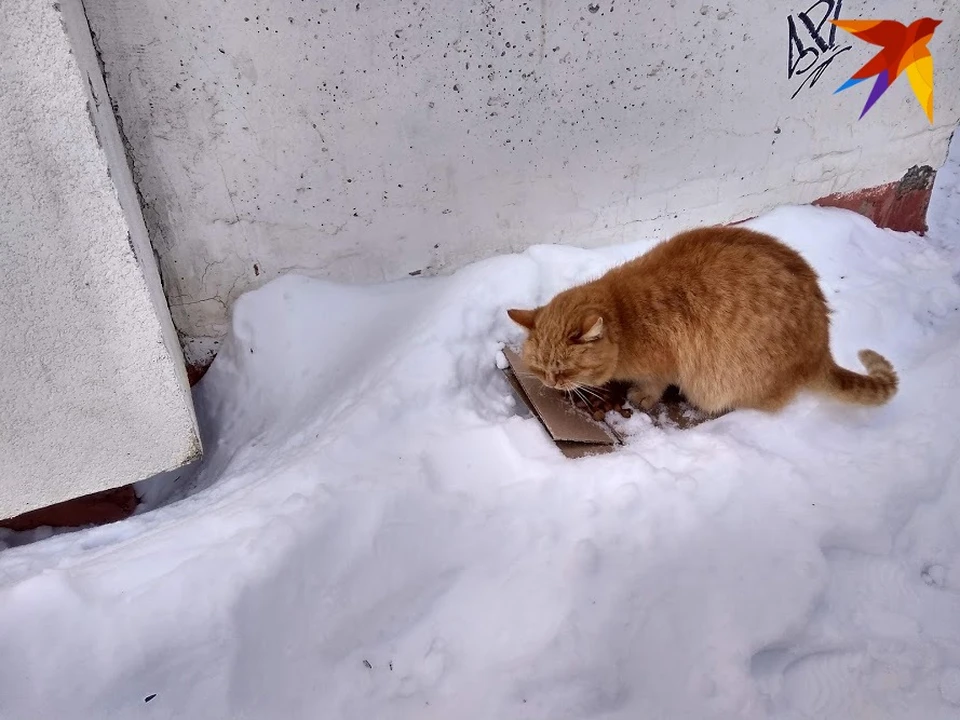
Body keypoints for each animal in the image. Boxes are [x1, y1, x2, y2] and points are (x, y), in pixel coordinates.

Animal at [510, 225, 900, 416]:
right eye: (541, 368)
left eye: (566, 370)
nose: (551, 384)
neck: (624, 319)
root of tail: (821, 350)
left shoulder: (664, 366)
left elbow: (654, 385)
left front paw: (642, 396)